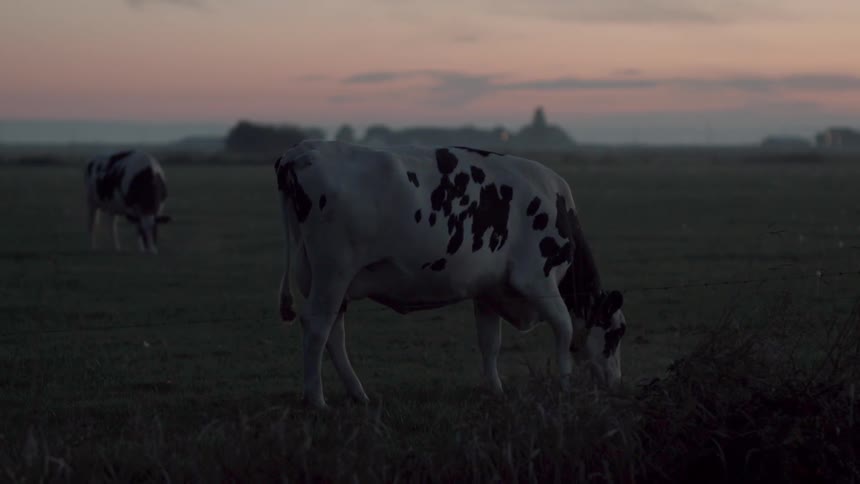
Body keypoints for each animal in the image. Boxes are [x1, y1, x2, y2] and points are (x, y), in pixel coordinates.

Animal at [275, 140, 626, 408]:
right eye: (615, 333)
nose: (616, 382)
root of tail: (301, 151)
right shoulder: (537, 279)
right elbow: (565, 330)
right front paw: (566, 387)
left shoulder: (488, 290)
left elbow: (490, 343)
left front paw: (495, 390)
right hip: (333, 273)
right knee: (317, 328)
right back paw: (317, 400)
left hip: (330, 281)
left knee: (334, 335)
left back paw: (358, 394)